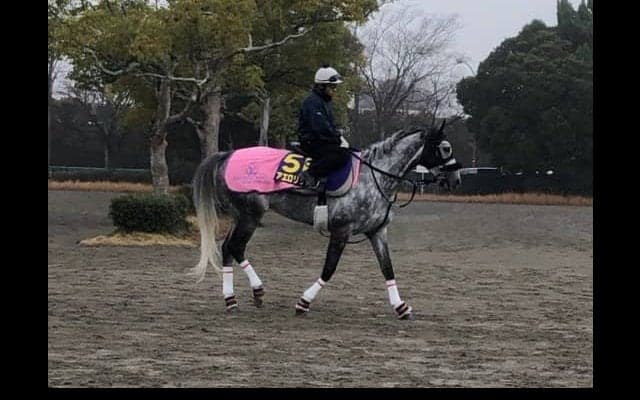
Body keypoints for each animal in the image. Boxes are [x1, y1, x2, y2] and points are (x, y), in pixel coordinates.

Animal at [189, 121, 461, 319]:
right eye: (445, 148)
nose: (456, 178)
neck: (372, 176)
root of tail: (227, 155)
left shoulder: (377, 232)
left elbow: (387, 268)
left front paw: (400, 306)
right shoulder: (341, 230)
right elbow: (329, 269)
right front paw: (304, 302)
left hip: (241, 217)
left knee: (227, 248)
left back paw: (231, 299)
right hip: (250, 216)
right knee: (235, 247)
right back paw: (256, 290)